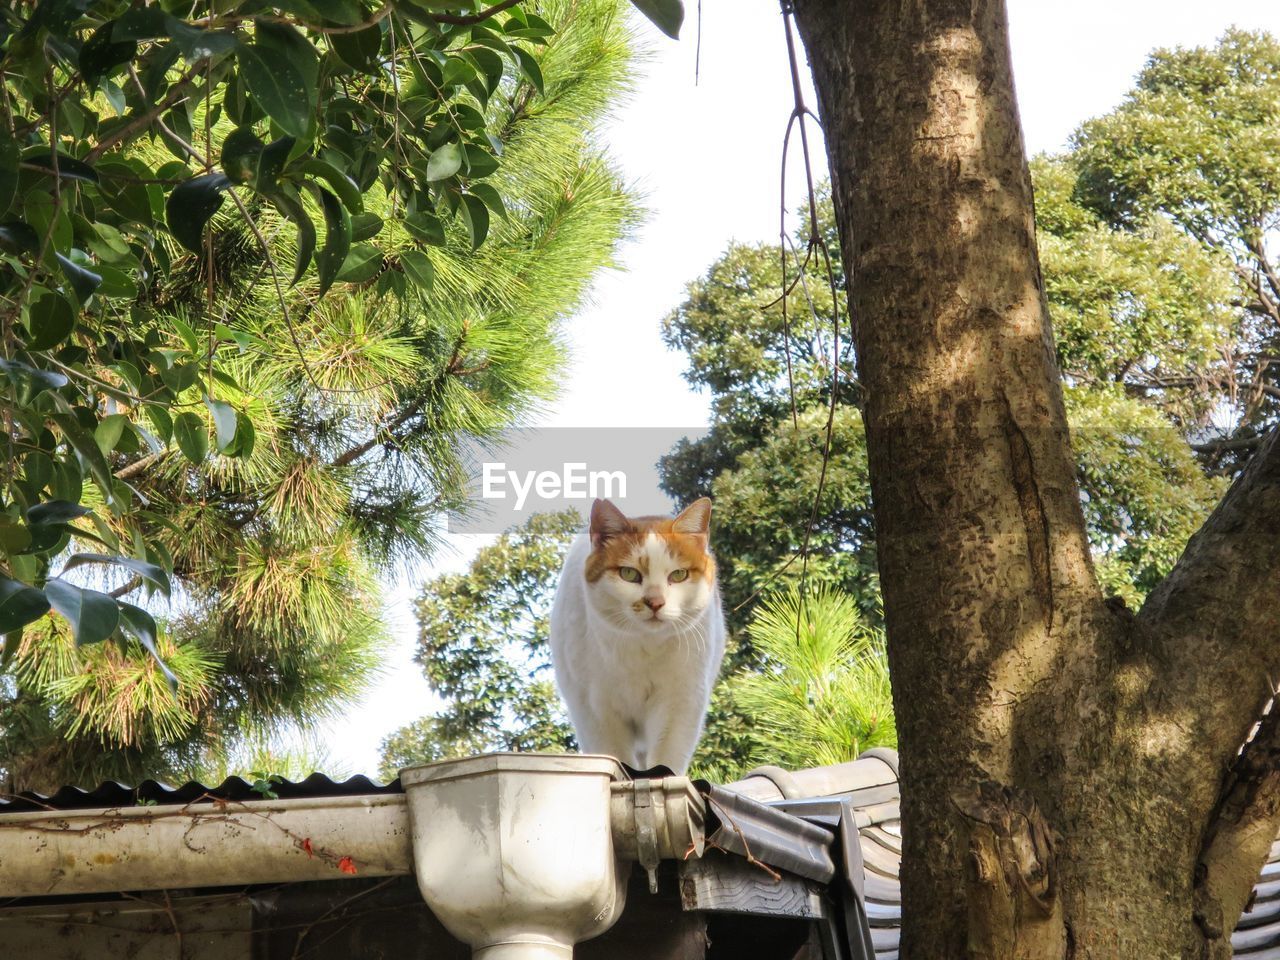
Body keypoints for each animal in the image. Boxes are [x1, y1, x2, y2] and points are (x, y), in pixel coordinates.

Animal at [550, 496, 732, 773]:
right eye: (629, 574)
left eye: (679, 575)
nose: (655, 602)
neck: (643, 646)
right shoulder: (597, 711)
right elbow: (616, 760)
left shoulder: (679, 704)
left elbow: (666, 760)